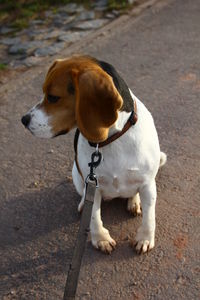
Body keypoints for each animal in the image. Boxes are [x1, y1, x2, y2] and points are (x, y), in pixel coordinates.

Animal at [21, 55, 166, 253]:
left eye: (53, 97)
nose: (24, 120)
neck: (110, 139)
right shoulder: (93, 184)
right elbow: (94, 216)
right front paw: (101, 238)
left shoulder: (147, 183)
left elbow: (149, 217)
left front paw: (144, 238)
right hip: (76, 174)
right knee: (84, 194)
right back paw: (84, 203)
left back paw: (134, 201)